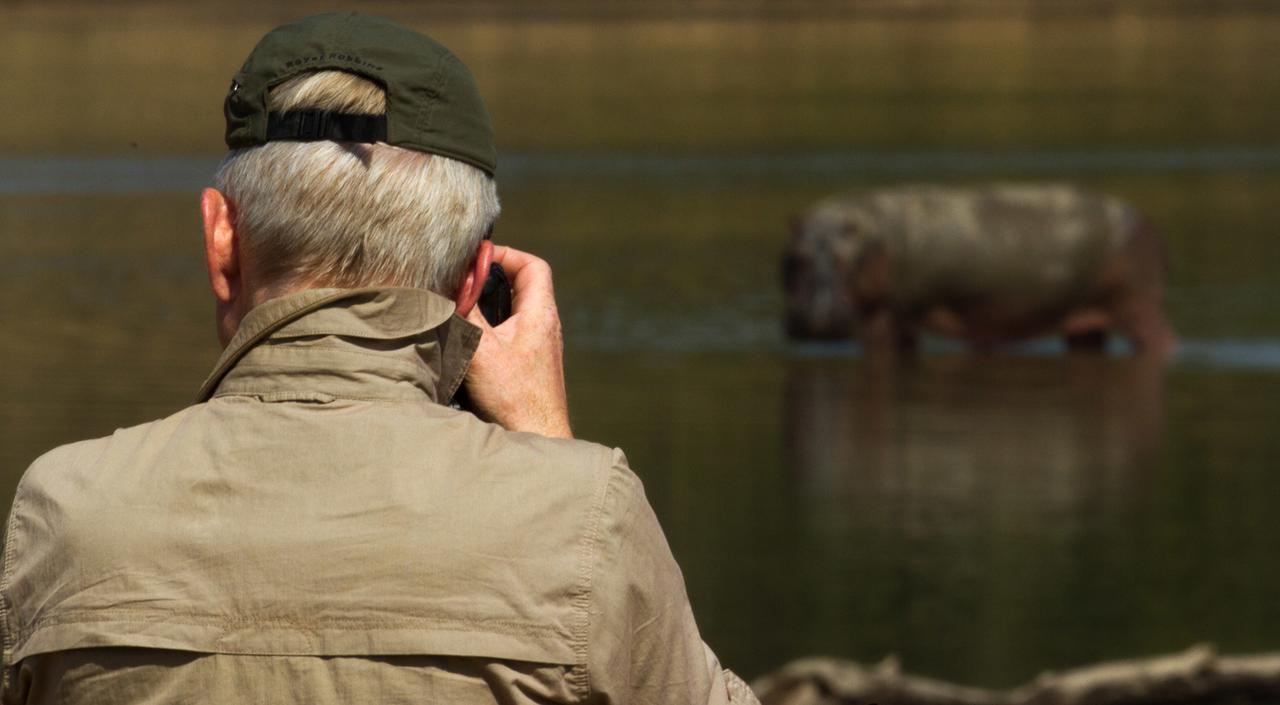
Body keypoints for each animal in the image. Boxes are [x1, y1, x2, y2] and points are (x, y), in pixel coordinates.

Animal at [773, 184, 1172, 355]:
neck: (872, 234)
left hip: (1136, 305)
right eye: (797, 256)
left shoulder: (885, 312)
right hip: (1086, 320)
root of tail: (1146, 222)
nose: (817, 319)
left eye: (846, 260)